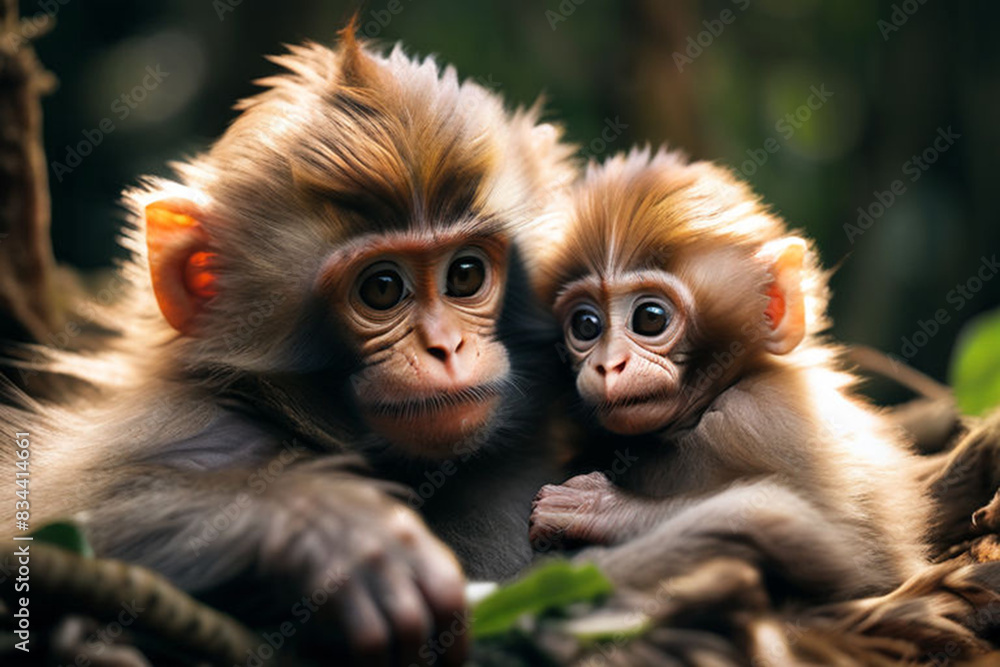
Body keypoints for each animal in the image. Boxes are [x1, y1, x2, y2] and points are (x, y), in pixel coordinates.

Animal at [0, 24, 575, 665]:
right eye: (382, 288)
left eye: (467, 275)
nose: (445, 348)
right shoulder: (185, 422)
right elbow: (38, 512)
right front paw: (326, 527)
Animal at [525, 147, 929, 601]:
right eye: (586, 325)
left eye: (650, 318)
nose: (609, 364)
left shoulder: (762, 418)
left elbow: (856, 560)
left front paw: (601, 509)